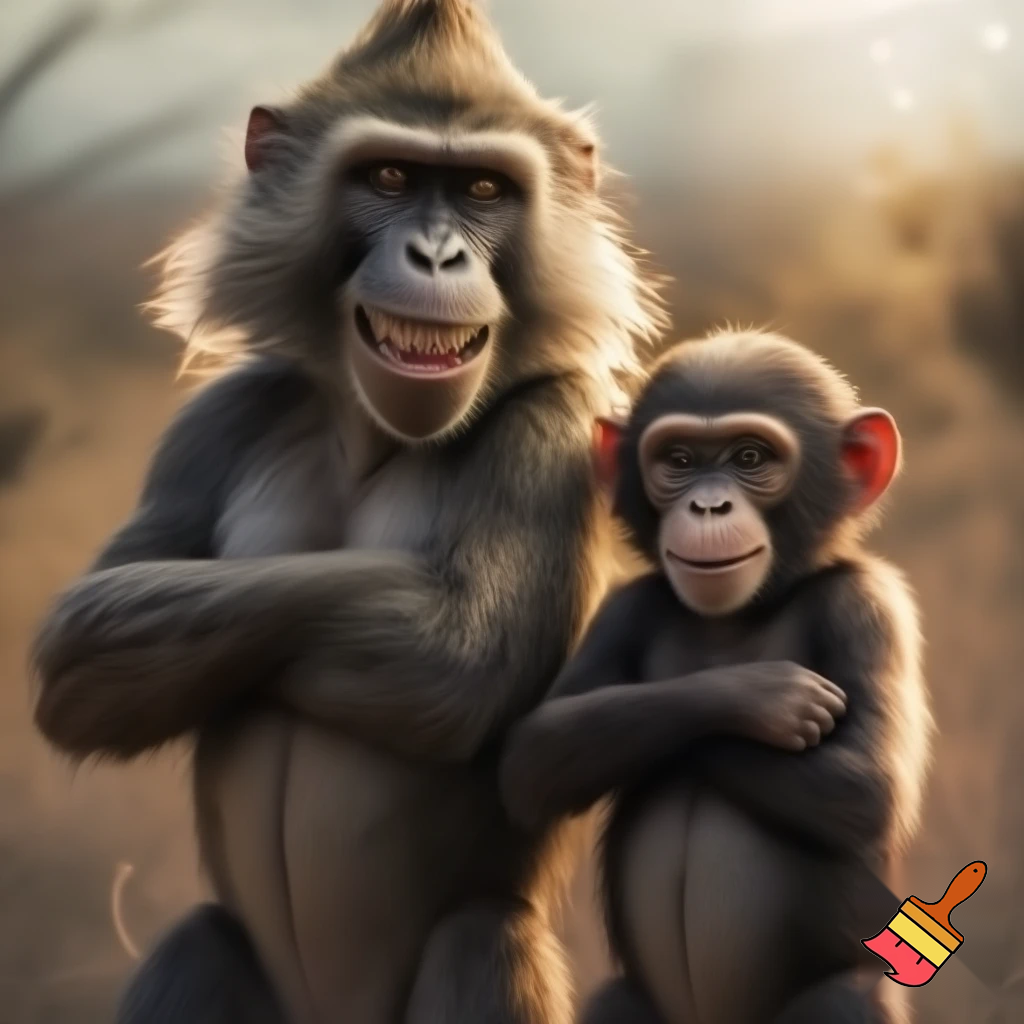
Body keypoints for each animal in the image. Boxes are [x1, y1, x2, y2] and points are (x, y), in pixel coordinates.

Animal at [28, 3, 666, 1023]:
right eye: (391, 178)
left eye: (483, 188)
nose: (437, 254)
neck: (372, 435)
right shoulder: (218, 419)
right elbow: (88, 643)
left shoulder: (556, 423)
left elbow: (460, 653)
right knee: (198, 940)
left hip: (477, 951)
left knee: (481, 938)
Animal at [500, 330, 933, 1024]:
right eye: (678, 459)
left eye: (750, 456)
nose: (708, 504)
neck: (737, 615)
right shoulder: (624, 607)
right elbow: (540, 746)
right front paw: (763, 696)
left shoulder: (869, 607)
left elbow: (866, 784)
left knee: (843, 997)